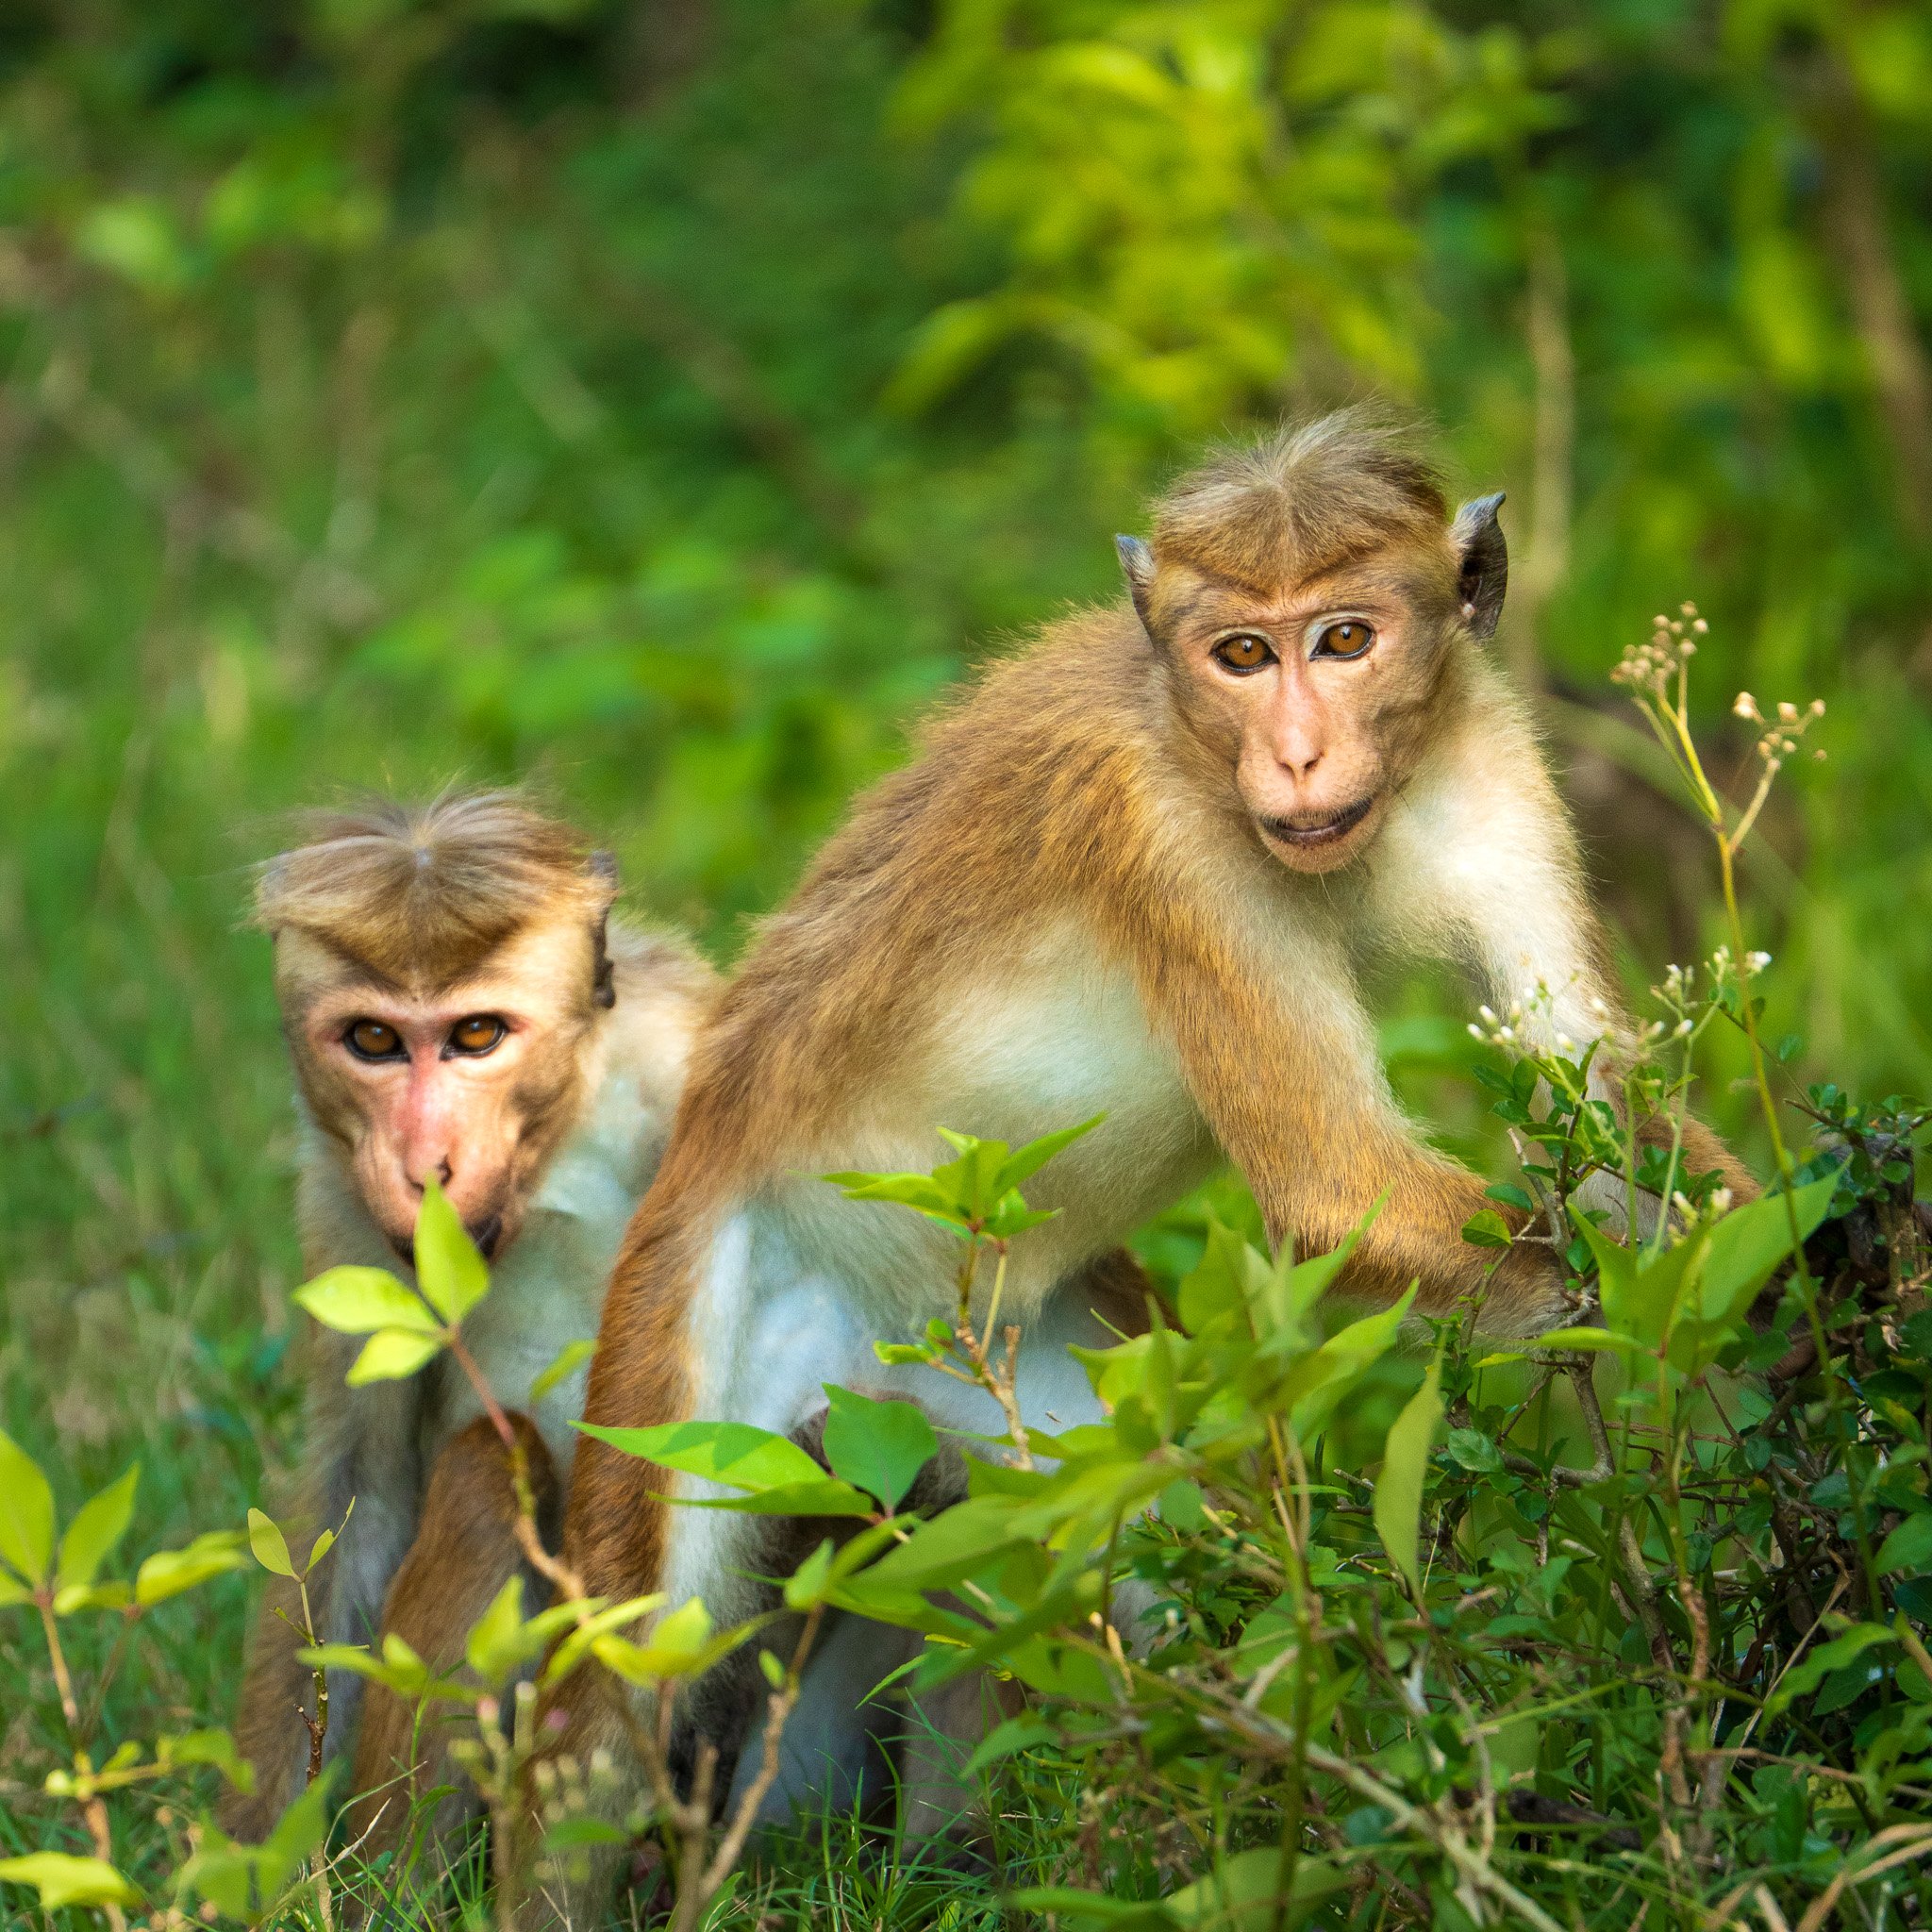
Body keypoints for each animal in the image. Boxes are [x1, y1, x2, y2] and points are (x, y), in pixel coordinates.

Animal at [224, 792, 715, 1853]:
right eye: (372, 1040)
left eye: (478, 1033)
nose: (425, 1168)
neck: (553, 1157)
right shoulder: (341, 1195)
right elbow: (361, 1490)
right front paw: (249, 1865)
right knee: (492, 1459)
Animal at [526, 412, 1748, 1915]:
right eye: (1242, 655)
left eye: (1345, 639)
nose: (1295, 756)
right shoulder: (1160, 840)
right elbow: (1335, 1182)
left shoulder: (1490, 757)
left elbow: (1592, 1083)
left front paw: (1820, 1263)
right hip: (691, 1330)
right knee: (609, 1715)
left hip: (1035, 1398)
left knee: (1190, 1585)